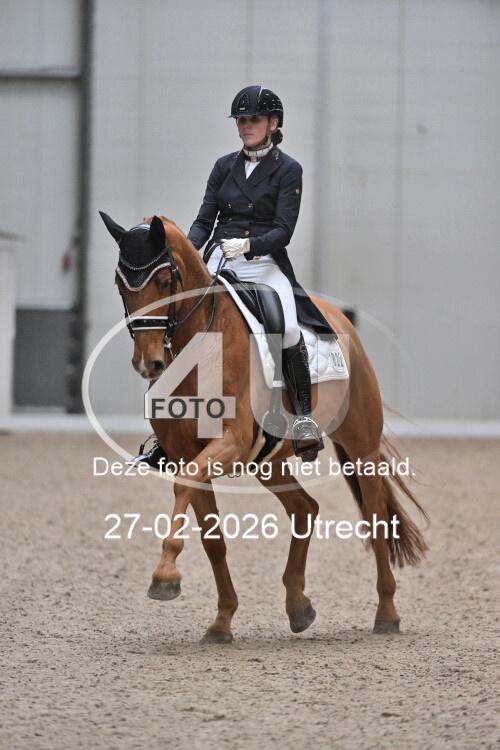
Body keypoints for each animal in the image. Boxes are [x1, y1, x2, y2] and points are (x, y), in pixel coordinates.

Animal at [101, 212, 428, 643]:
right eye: (121, 284)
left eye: (164, 280)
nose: (148, 363)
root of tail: (341, 319)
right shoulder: (188, 453)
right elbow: (213, 538)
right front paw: (221, 621)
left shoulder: (231, 441)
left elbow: (184, 488)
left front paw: (165, 576)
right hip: (268, 461)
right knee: (305, 508)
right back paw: (298, 606)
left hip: (361, 449)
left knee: (374, 519)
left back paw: (386, 614)